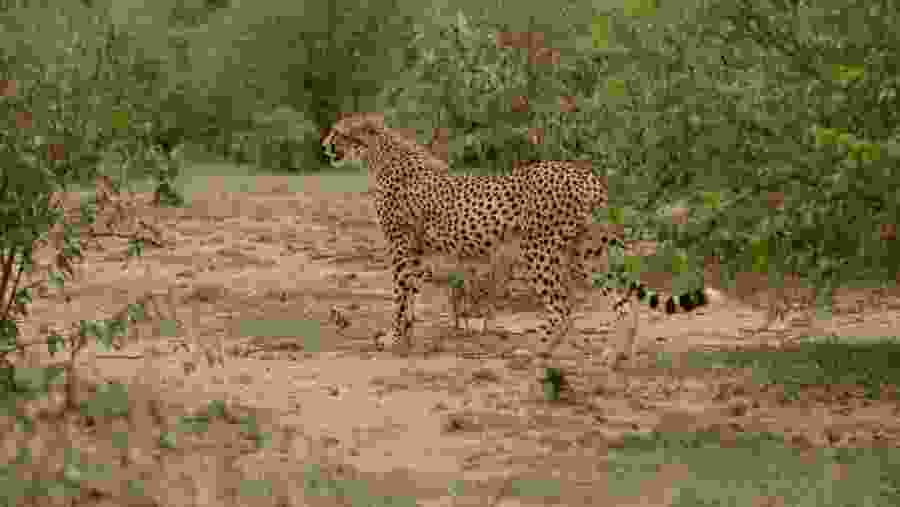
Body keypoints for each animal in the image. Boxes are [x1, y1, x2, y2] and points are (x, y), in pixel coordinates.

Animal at [321, 112, 707, 365]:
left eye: (339, 131)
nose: (324, 145)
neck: (379, 155)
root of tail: (584, 174)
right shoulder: (416, 251)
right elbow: (410, 298)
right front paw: (406, 339)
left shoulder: (402, 247)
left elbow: (400, 298)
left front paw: (394, 340)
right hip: (586, 255)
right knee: (623, 302)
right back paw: (615, 354)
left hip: (541, 252)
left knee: (563, 307)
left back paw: (536, 351)